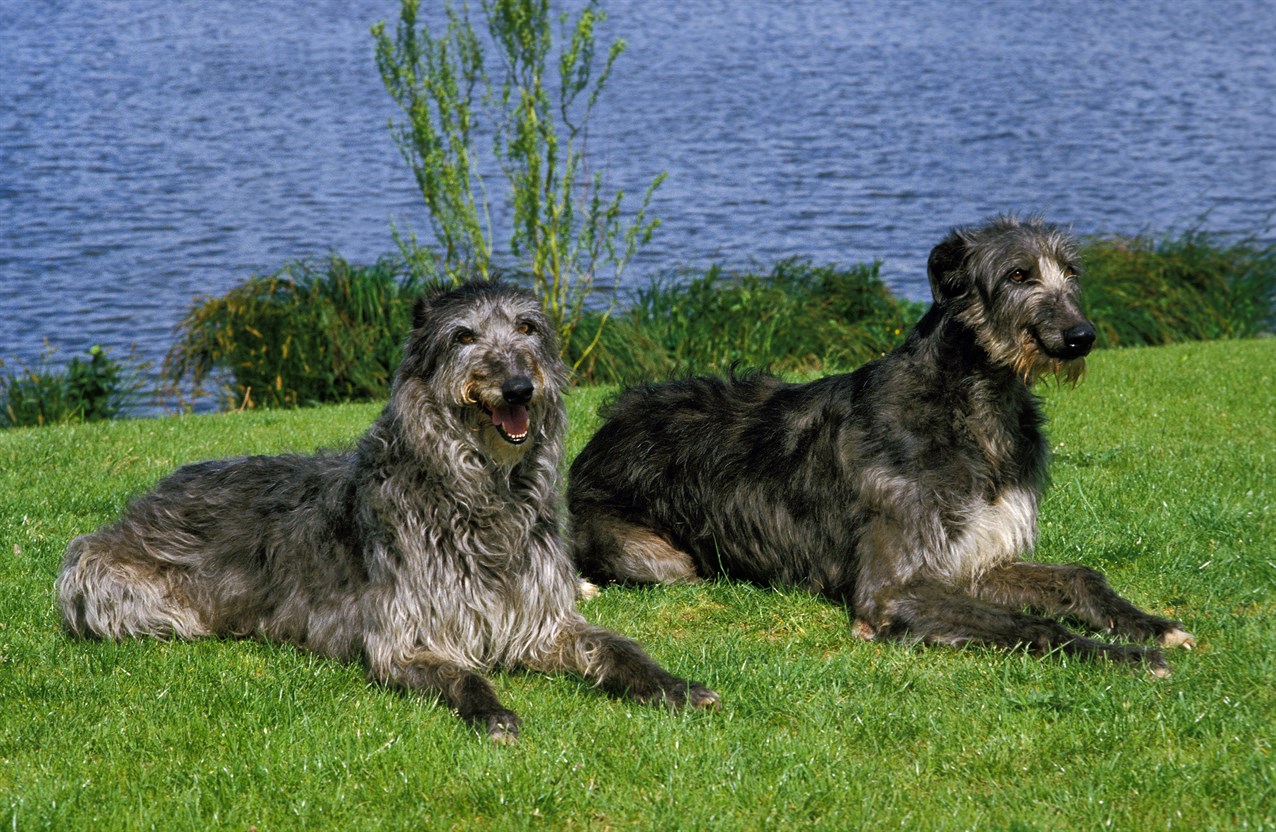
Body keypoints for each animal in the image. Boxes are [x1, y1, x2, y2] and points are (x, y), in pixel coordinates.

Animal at [57, 279, 719, 740]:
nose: (519, 387)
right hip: (113, 586)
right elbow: (462, 673)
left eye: (529, 327)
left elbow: (615, 648)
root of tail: (148, 497)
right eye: (463, 336)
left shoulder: (542, 622)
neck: (478, 495)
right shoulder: (406, 636)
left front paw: (673, 686)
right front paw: (494, 713)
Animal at [569, 214, 1194, 673]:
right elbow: (1027, 623)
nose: (1081, 336)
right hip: (659, 558)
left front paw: (1153, 626)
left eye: (1071, 271)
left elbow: (1077, 576)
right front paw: (1122, 654)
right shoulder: (891, 588)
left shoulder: (977, 559)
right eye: (1018, 276)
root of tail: (604, 430)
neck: (971, 408)